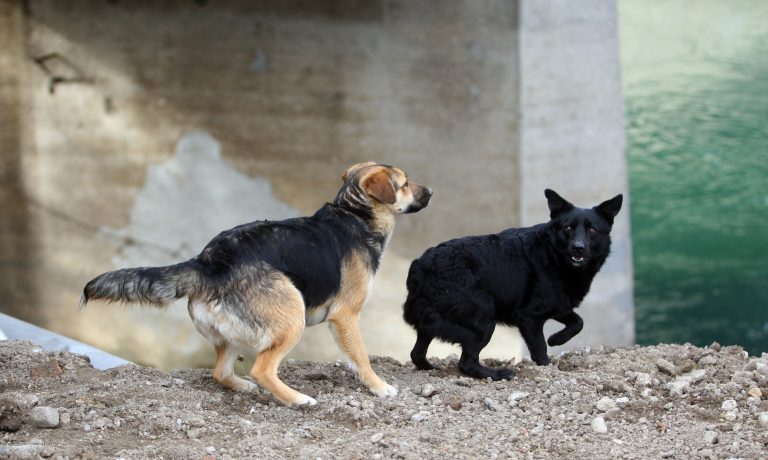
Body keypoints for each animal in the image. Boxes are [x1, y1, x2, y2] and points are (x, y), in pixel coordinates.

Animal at [85, 163, 432, 406]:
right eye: (403, 184)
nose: (430, 191)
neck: (354, 212)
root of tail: (208, 262)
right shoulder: (345, 316)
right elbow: (360, 356)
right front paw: (379, 387)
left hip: (234, 332)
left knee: (221, 372)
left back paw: (243, 386)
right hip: (293, 316)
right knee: (262, 370)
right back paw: (297, 399)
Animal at [404, 189, 620, 380]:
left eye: (592, 230)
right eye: (568, 228)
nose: (578, 248)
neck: (552, 255)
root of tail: (419, 267)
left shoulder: (557, 306)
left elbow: (578, 322)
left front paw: (556, 339)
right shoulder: (529, 317)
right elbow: (540, 349)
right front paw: (547, 366)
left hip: (433, 322)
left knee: (417, 354)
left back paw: (431, 369)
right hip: (483, 321)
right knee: (466, 363)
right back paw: (498, 375)